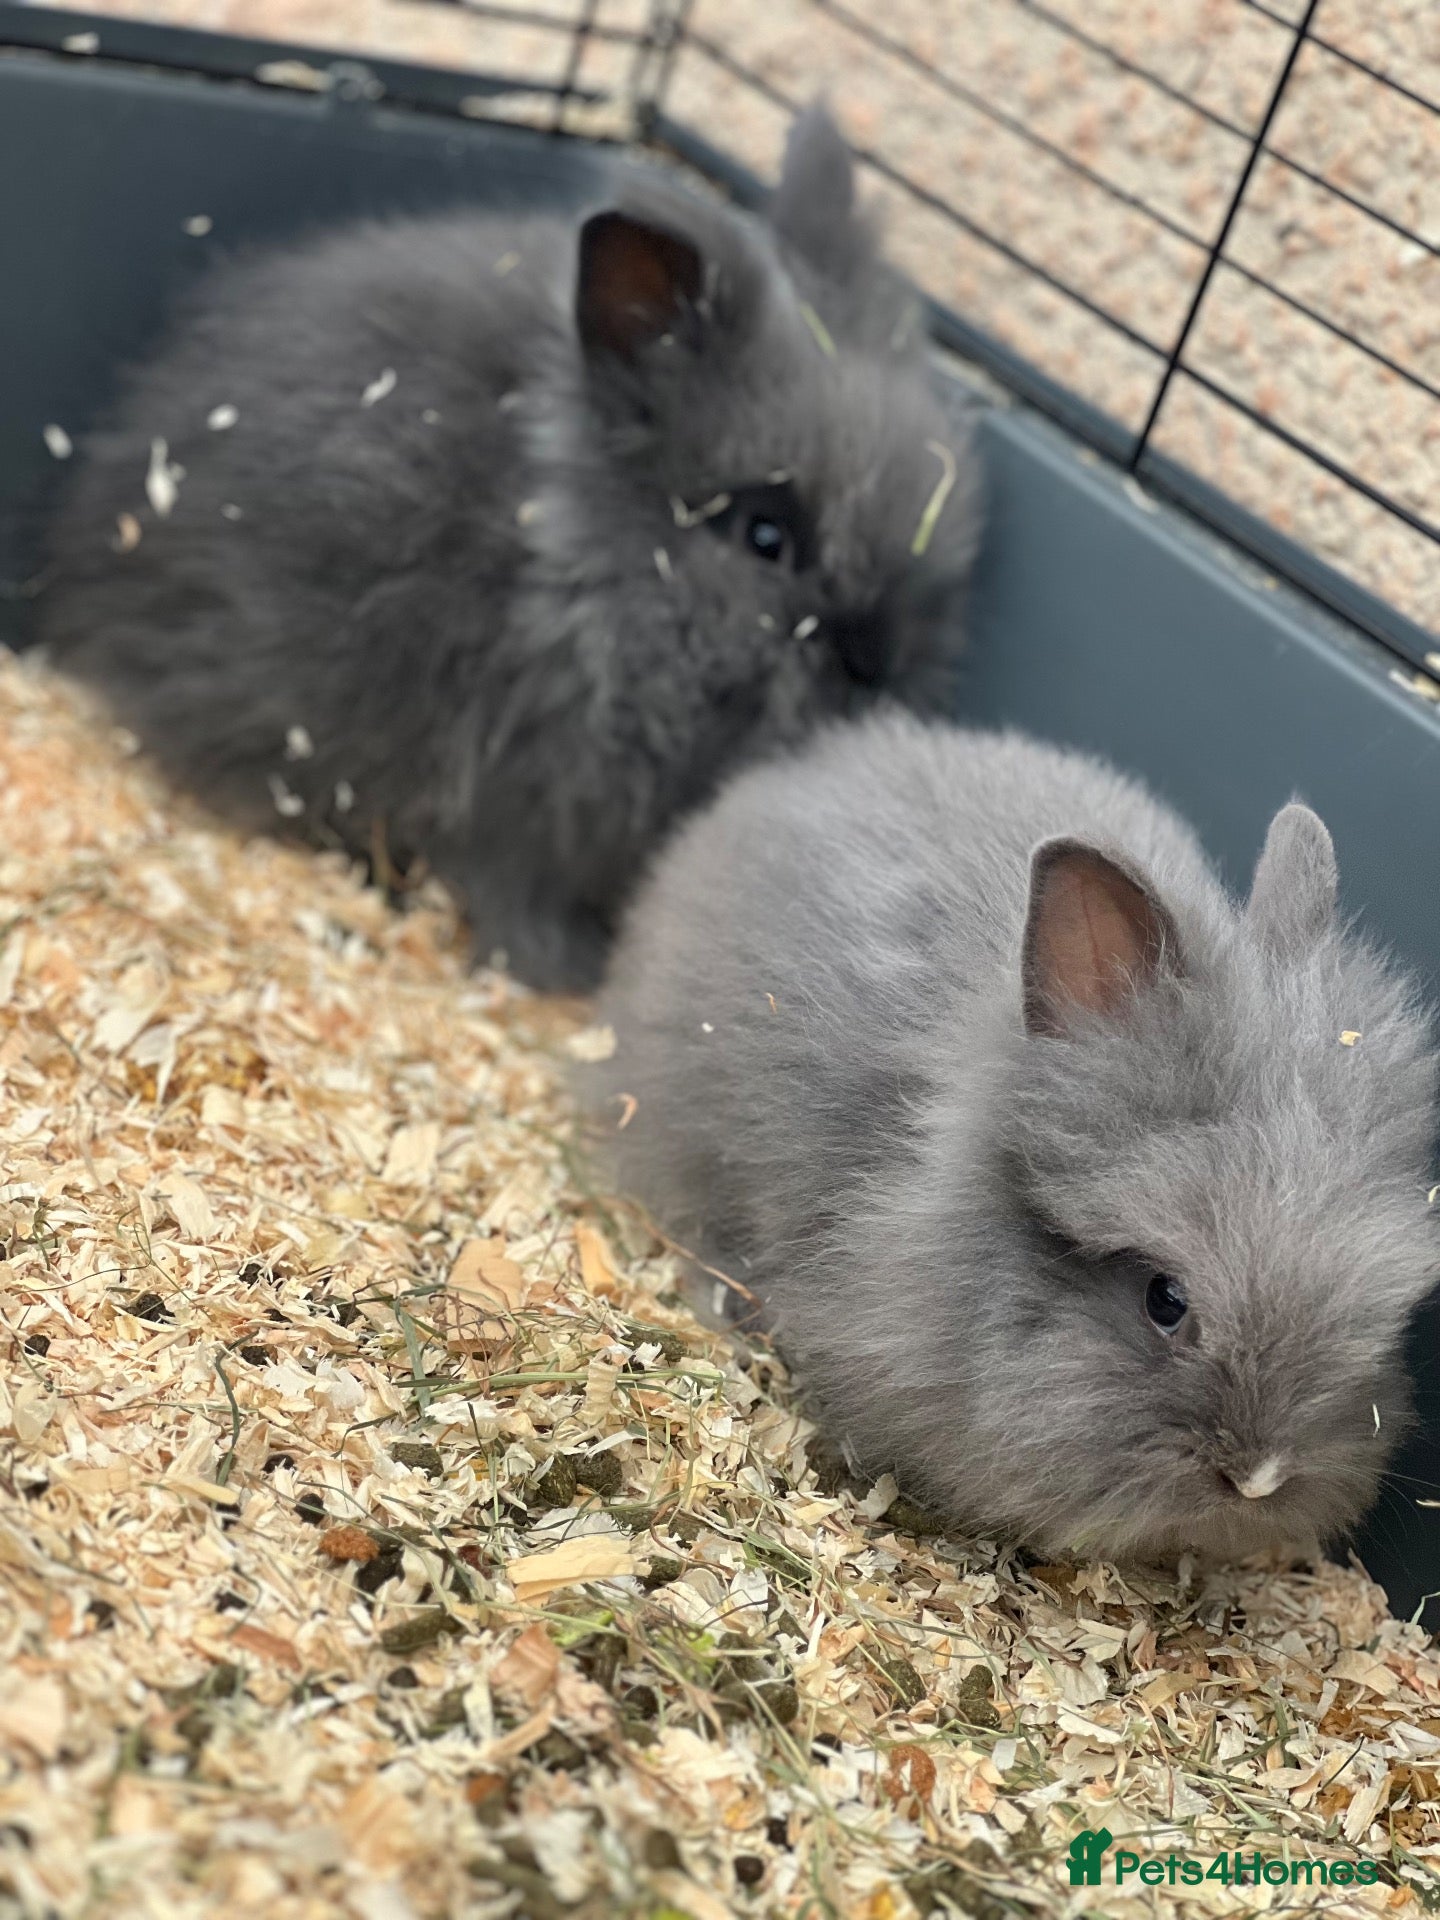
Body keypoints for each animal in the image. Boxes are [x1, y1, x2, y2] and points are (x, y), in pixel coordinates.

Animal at [35, 106, 979, 992]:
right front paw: (572, 972)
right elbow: (519, 904)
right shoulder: (525, 807)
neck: (575, 566)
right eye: (766, 537)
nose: (876, 663)